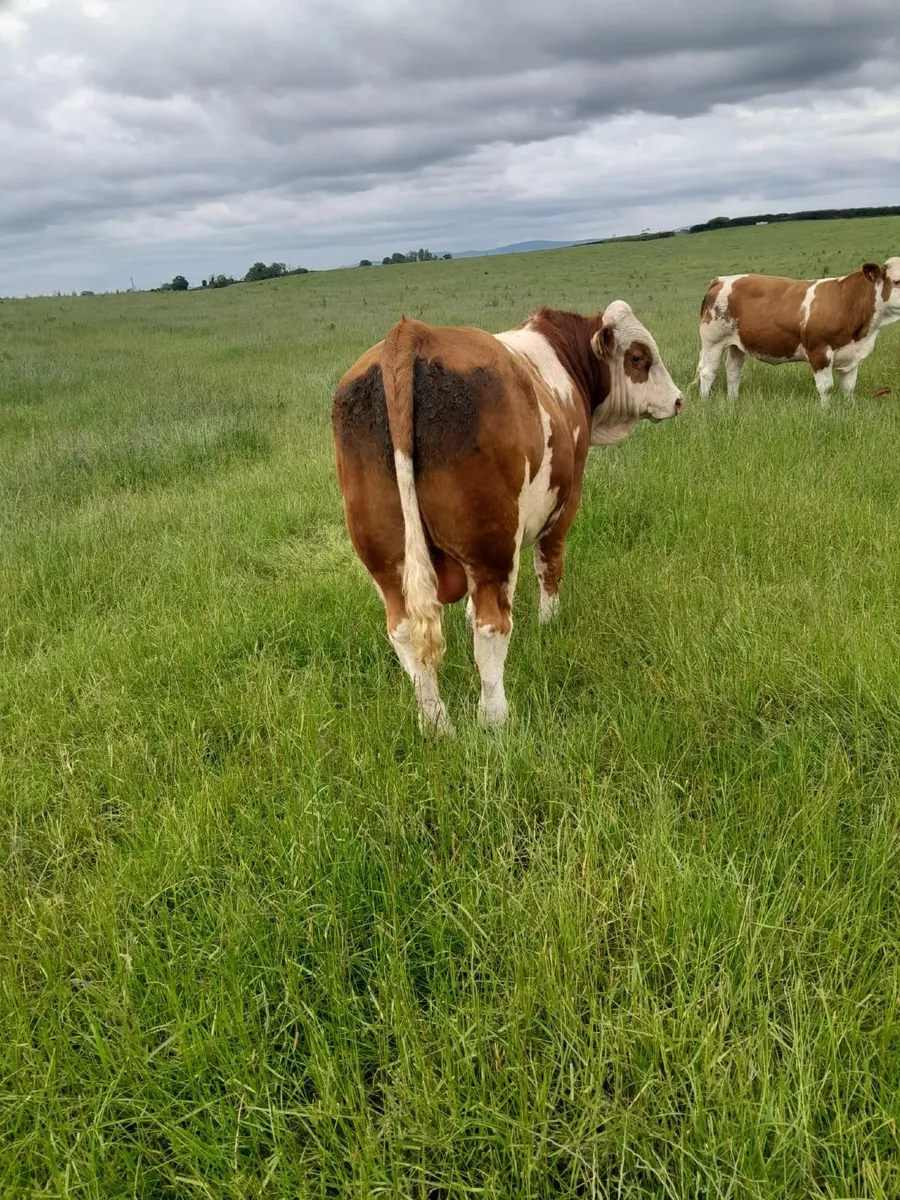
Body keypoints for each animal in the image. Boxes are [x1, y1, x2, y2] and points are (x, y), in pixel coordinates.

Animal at [331, 302, 683, 733]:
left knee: (406, 632)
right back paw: (495, 719)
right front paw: (550, 623)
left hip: (387, 558)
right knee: (492, 626)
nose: (678, 400)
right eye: (638, 358)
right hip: (491, 546)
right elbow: (550, 567)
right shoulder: (563, 505)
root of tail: (413, 333)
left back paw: (435, 725)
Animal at [696, 258, 900, 403]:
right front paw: (826, 413)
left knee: (733, 370)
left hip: (736, 343)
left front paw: (849, 409)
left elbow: (849, 387)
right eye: (897, 281)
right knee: (708, 372)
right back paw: (705, 403)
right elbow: (826, 387)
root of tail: (721, 279)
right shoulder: (819, 352)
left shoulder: (852, 355)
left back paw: (733, 401)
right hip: (713, 341)